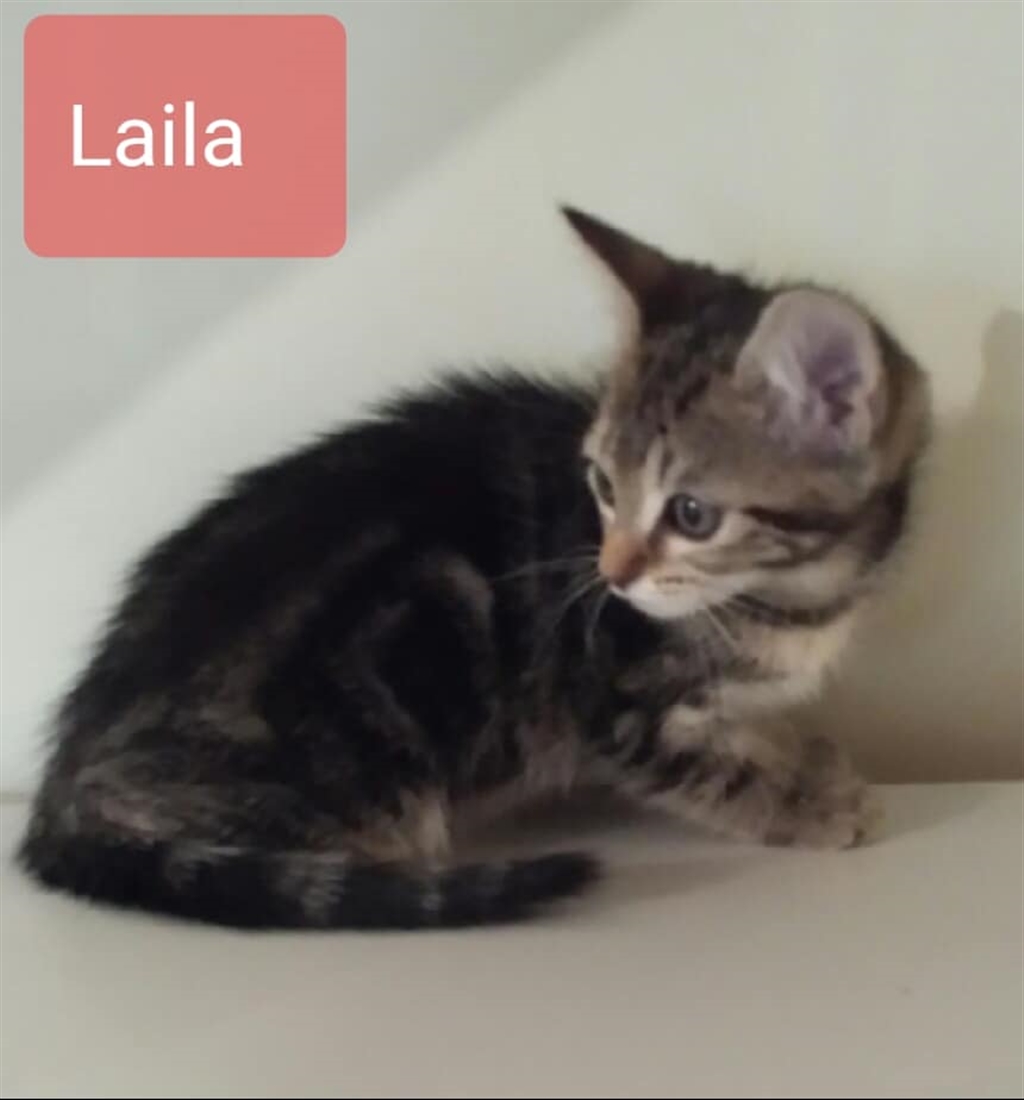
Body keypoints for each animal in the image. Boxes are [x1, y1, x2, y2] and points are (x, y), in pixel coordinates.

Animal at [18, 207, 931, 930]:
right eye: (602, 484)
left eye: (692, 515)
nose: (611, 574)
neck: (793, 596)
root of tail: (59, 786)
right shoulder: (610, 702)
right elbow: (708, 770)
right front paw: (808, 805)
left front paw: (806, 756)